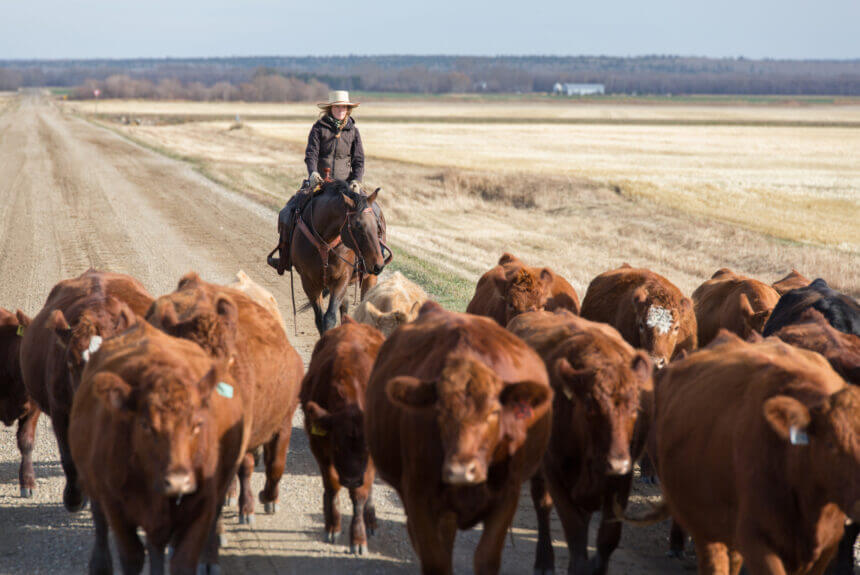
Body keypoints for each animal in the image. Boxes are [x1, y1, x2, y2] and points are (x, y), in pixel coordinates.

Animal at [70, 321, 247, 575]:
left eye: (197, 424)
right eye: (145, 425)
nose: (178, 481)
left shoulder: (202, 508)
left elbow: (182, 562)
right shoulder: (116, 508)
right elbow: (131, 557)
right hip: (94, 486)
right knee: (101, 523)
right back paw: (100, 565)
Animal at [300, 316, 385, 554]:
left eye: (366, 448)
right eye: (336, 445)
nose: (351, 479)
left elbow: (360, 495)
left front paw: (358, 537)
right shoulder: (319, 446)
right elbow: (332, 486)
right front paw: (332, 525)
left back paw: (371, 520)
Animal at [365, 301, 552, 574]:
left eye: (494, 412)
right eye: (439, 411)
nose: (461, 471)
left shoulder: (507, 496)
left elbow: (486, 558)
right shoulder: (420, 498)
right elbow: (436, 560)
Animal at [507, 310, 652, 575]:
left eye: (636, 408)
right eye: (589, 406)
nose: (617, 463)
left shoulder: (620, 483)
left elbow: (607, 539)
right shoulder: (556, 476)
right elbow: (575, 538)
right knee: (542, 505)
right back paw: (544, 561)